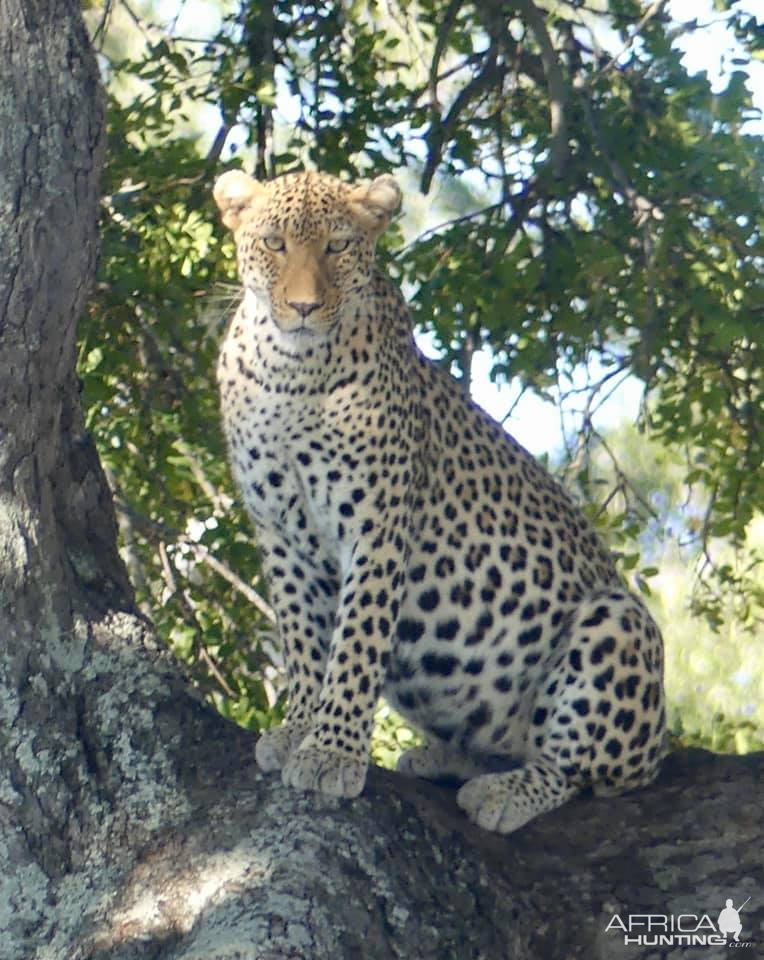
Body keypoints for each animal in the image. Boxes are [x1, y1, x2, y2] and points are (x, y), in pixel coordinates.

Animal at [212, 167, 664, 832]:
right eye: (273, 243)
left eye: (338, 247)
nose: (302, 307)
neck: (289, 374)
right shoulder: (280, 532)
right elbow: (303, 639)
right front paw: (298, 728)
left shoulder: (376, 525)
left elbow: (356, 642)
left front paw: (331, 753)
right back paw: (446, 758)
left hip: (618, 624)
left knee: (577, 770)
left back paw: (504, 792)